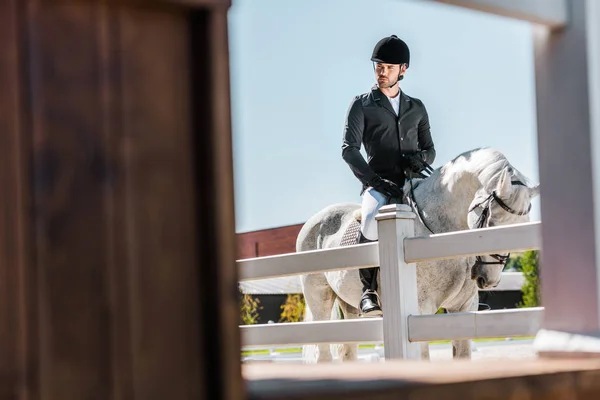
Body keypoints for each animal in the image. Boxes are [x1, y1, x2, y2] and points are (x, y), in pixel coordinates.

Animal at [296, 147, 540, 362]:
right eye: (492, 221)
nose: (488, 279)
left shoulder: (463, 308)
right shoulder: (419, 311)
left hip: (349, 306)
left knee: (348, 350)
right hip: (319, 298)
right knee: (323, 352)